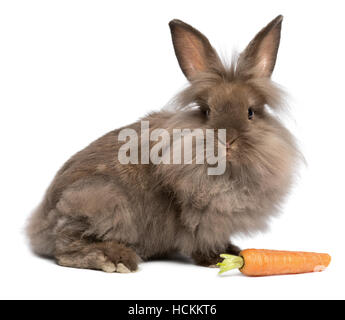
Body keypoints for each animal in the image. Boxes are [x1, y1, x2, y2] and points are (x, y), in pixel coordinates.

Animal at [26, 15, 300, 272]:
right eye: (207, 111)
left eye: (250, 112)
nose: (227, 140)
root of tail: (38, 227)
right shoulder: (199, 219)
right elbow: (199, 241)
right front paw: (216, 259)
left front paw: (232, 252)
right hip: (100, 200)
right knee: (65, 250)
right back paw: (115, 259)